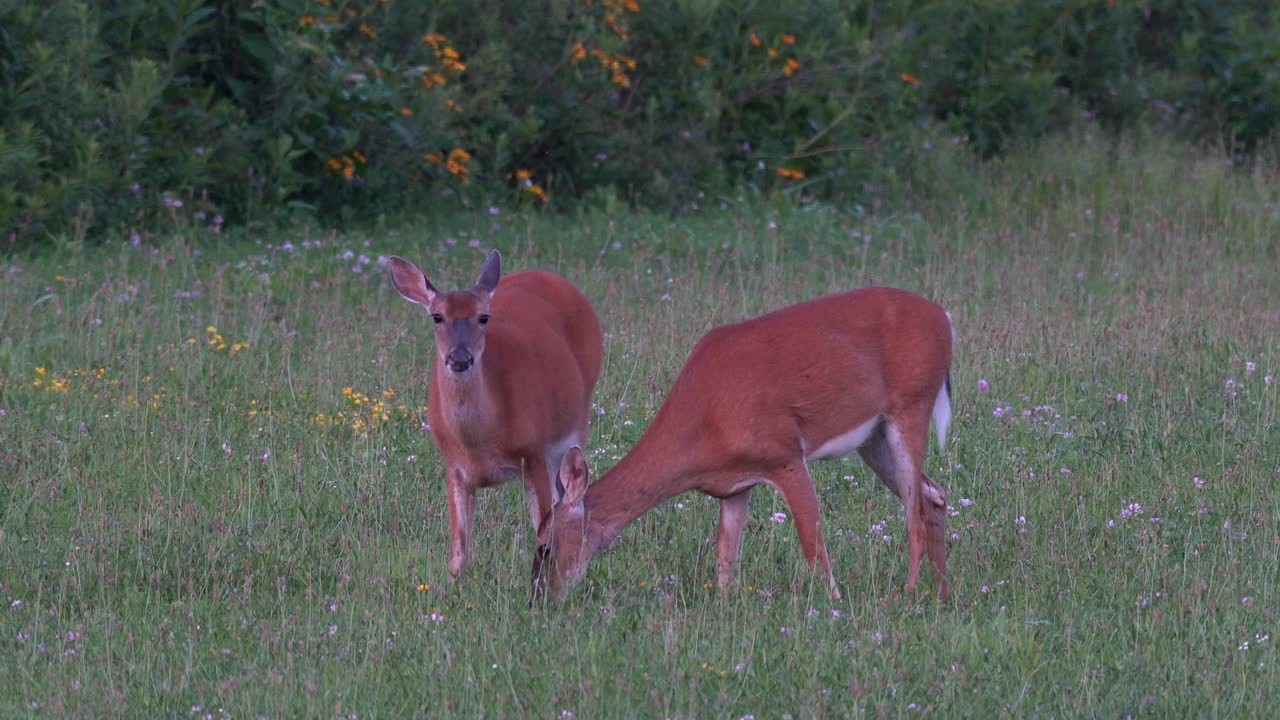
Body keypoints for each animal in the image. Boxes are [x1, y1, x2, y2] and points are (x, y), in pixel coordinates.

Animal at [389, 249, 604, 579]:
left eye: (483, 317)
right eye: (437, 316)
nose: (460, 357)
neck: (481, 444)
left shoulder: (534, 454)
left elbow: (544, 526)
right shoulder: (454, 467)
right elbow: (459, 549)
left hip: (577, 421)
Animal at [527, 285, 952, 599]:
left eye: (544, 546)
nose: (539, 598)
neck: (702, 420)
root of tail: (944, 318)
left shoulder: (784, 453)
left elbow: (812, 541)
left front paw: (833, 605)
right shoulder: (733, 485)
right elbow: (725, 560)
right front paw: (724, 607)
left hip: (911, 404)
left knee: (914, 513)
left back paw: (908, 594)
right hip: (874, 439)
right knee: (933, 495)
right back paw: (940, 591)